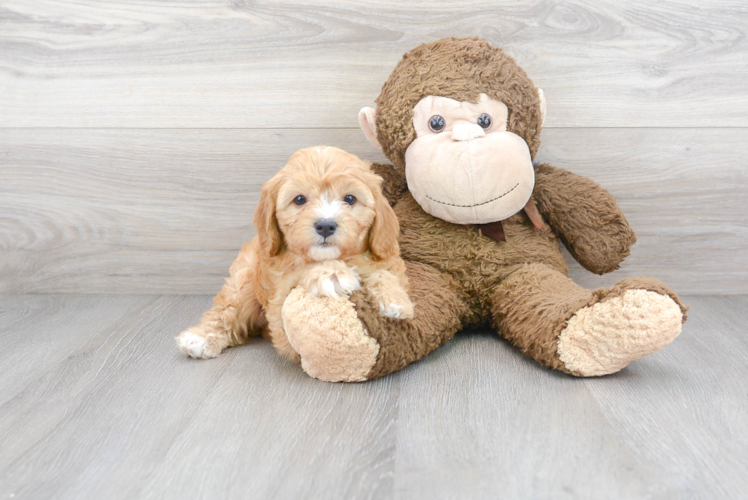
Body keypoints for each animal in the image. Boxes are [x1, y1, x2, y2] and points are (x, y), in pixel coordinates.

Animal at [177, 146, 414, 362]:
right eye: (299, 200)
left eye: (349, 199)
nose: (325, 225)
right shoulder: (279, 312)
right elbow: (303, 271)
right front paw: (333, 274)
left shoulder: (387, 260)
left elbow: (383, 273)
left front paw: (395, 300)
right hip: (244, 278)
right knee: (227, 309)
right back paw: (200, 338)